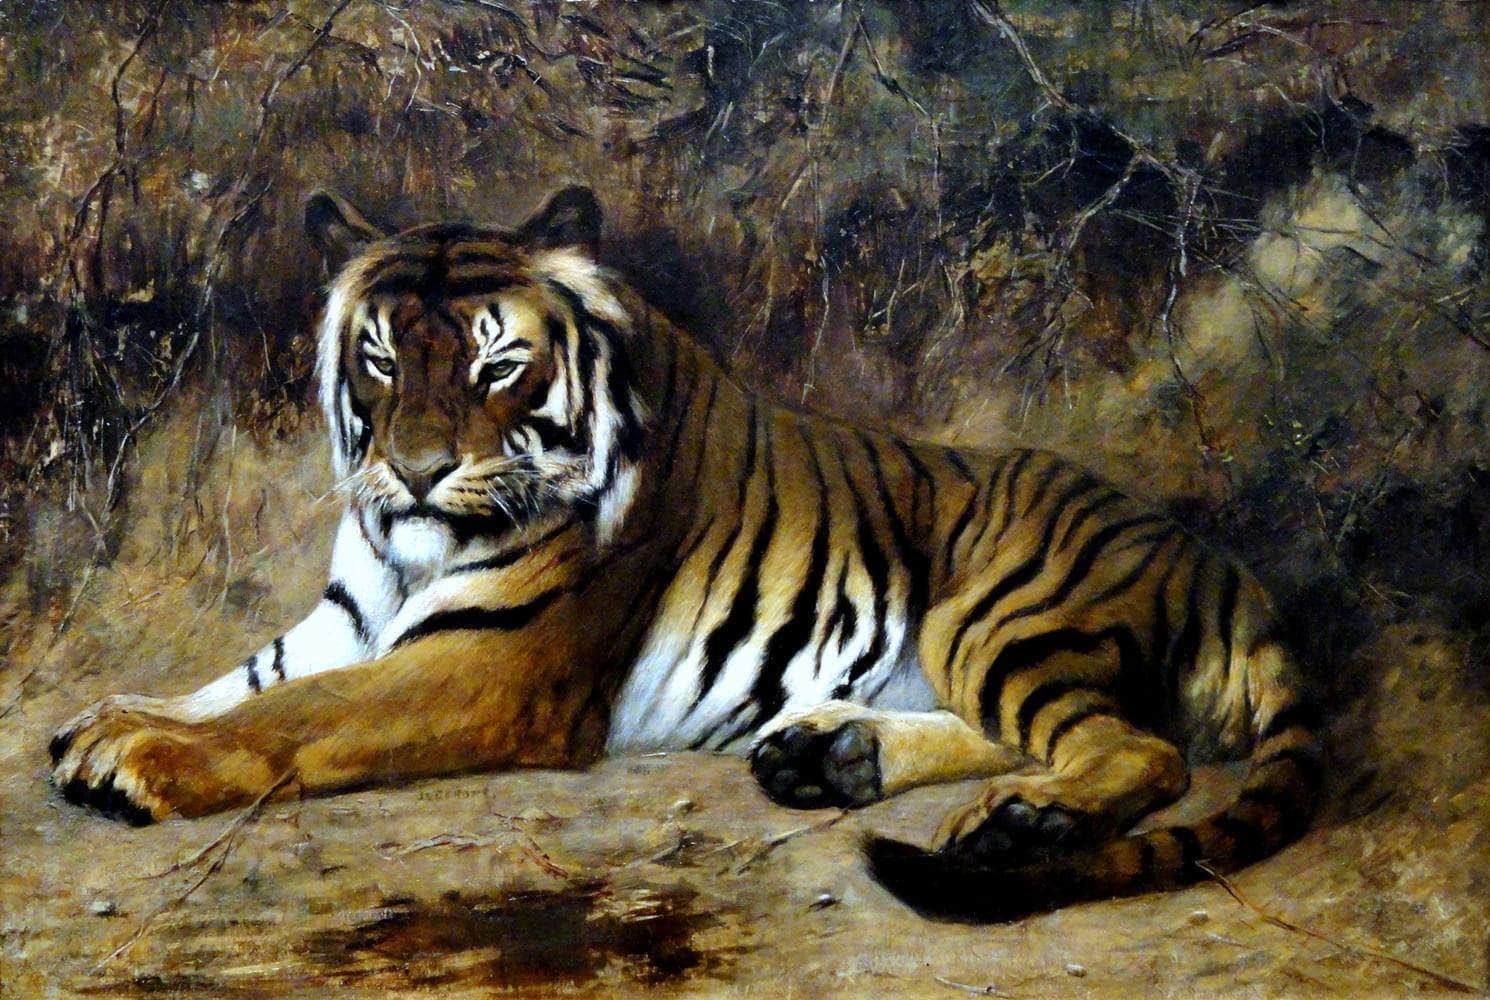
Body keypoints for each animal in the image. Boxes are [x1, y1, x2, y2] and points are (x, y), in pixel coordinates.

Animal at [48, 185, 1322, 922]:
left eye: (494, 364)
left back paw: (1025, 821)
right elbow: (239, 679)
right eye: (379, 360)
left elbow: (294, 715)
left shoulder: (492, 668)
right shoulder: (348, 621)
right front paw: (102, 722)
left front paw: (141, 760)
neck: (407, 551)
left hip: (992, 611)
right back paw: (834, 754)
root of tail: (1224, 563)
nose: (410, 473)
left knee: (1138, 746)